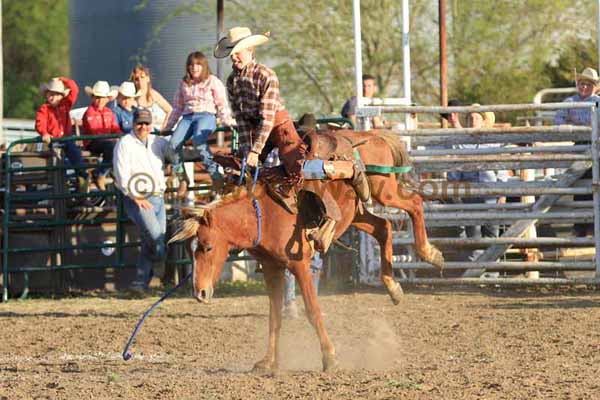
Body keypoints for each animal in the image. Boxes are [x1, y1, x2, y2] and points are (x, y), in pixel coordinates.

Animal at [169, 130, 440, 372]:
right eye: (190, 251)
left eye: (207, 247)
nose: (199, 293)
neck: (263, 214)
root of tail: (373, 135)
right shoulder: (272, 268)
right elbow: (274, 315)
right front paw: (268, 362)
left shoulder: (299, 265)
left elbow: (312, 311)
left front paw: (330, 358)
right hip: (356, 214)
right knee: (384, 227)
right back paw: (393, 287)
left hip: (385, 190)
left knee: (415, 203)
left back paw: (429, 253)